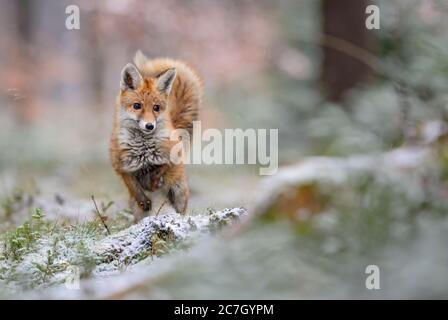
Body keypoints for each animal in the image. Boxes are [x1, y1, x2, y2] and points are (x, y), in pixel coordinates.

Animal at [110, 51, 203, 220]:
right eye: (137, 106)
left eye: (156, 107)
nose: (149, 126)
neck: (143, 149)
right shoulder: (119, 165)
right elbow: (133, 185)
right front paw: (144, 199)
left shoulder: (173, 156)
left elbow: (160, 169)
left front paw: (153, 183)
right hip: (137, 210)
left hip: (179, 194)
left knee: (181, 210)